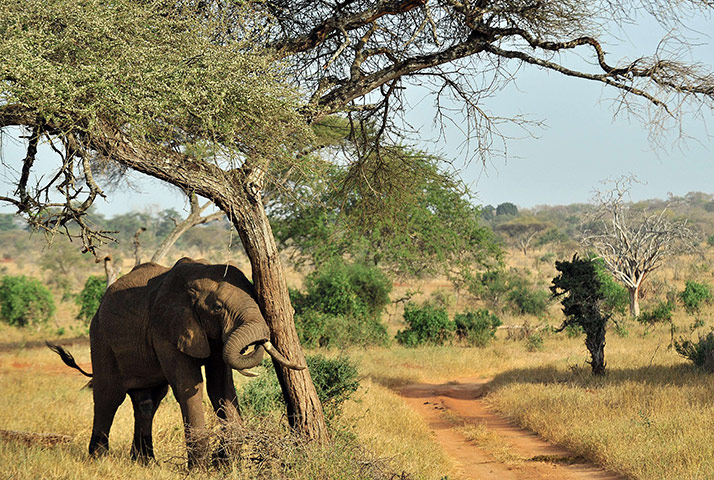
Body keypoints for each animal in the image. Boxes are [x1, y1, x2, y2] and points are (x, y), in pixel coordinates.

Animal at [48, 257, 304, 466]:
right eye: (218, 308)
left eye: (258, 300)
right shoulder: (165, 329)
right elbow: (189, 386)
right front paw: (200, 470)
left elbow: (220, 388)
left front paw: (224, 464)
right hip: (101, 337)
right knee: (108, 396)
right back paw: (99, 459)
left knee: (148, 401)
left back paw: (145, 462)